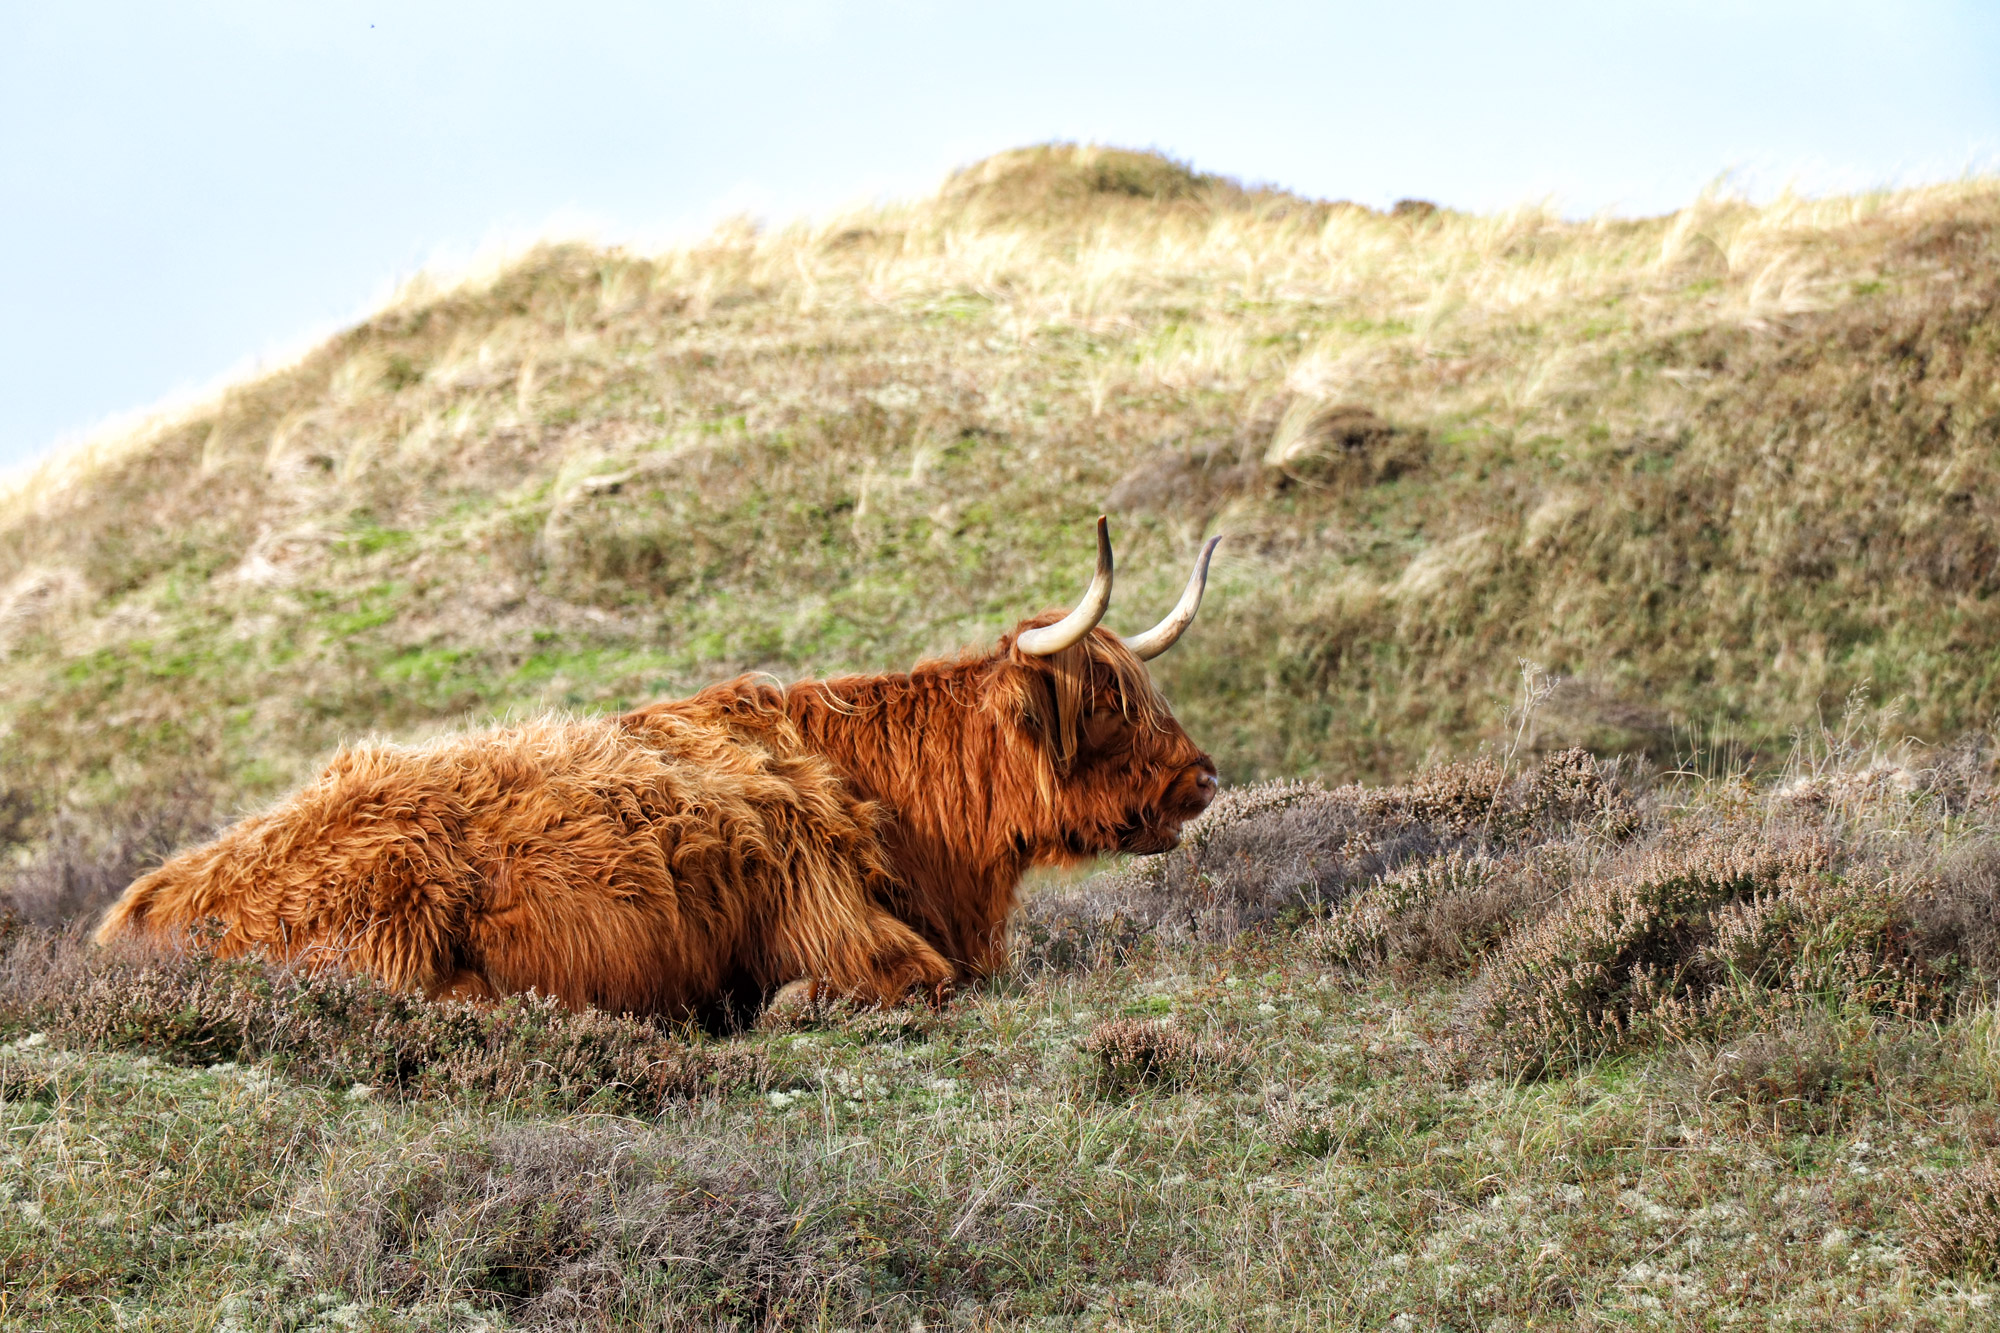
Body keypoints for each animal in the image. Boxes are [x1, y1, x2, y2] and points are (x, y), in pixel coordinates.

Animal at [94, 520, 1216, 1016]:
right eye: (1108, 705)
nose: (1201, 778)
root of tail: (135, 912)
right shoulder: (845, 929)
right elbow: (894, 984)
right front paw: (768, 1006)